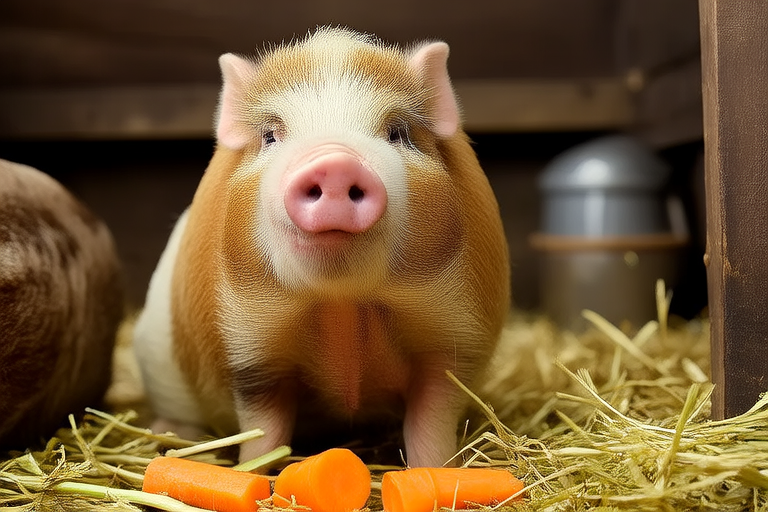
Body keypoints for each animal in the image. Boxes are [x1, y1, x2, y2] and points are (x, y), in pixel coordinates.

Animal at [133, 27, 510, 467]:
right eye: (270, 135)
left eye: (397, 132)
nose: (334, 162)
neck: (341, 305)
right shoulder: (250, 351)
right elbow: (263, 433)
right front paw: (255, 471)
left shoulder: (453, 342)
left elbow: (431, 425)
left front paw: (434, 471)